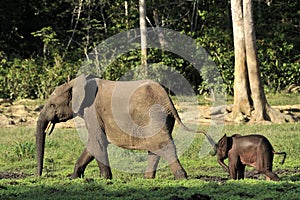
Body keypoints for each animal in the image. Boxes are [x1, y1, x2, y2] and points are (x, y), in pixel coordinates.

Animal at [36, 75, 216, 180]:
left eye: (52, 105)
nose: (39, 177)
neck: (76, 83)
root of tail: (167, 98)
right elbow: (93, 144)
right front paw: (73, 178)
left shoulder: (92, 112)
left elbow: (97, 142)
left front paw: (106, 179)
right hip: (162, 118)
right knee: (155, 148)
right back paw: (148, 179)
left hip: (152, 115)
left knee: (164, 145)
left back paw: (181, 177)